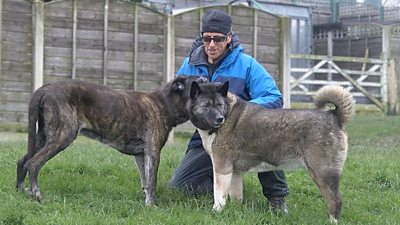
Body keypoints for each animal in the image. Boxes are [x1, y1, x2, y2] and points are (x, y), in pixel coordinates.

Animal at [186, 81, 354, 223]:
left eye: (220, 104)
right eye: (206, 106)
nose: (219, 119)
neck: (228, 114)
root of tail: (334, 116)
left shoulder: (222, 168)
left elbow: (219, 195)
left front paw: (216, 212)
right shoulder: (234, 171)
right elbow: (236, 196)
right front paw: (235, 211)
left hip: (322, 174)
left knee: (335, 200)